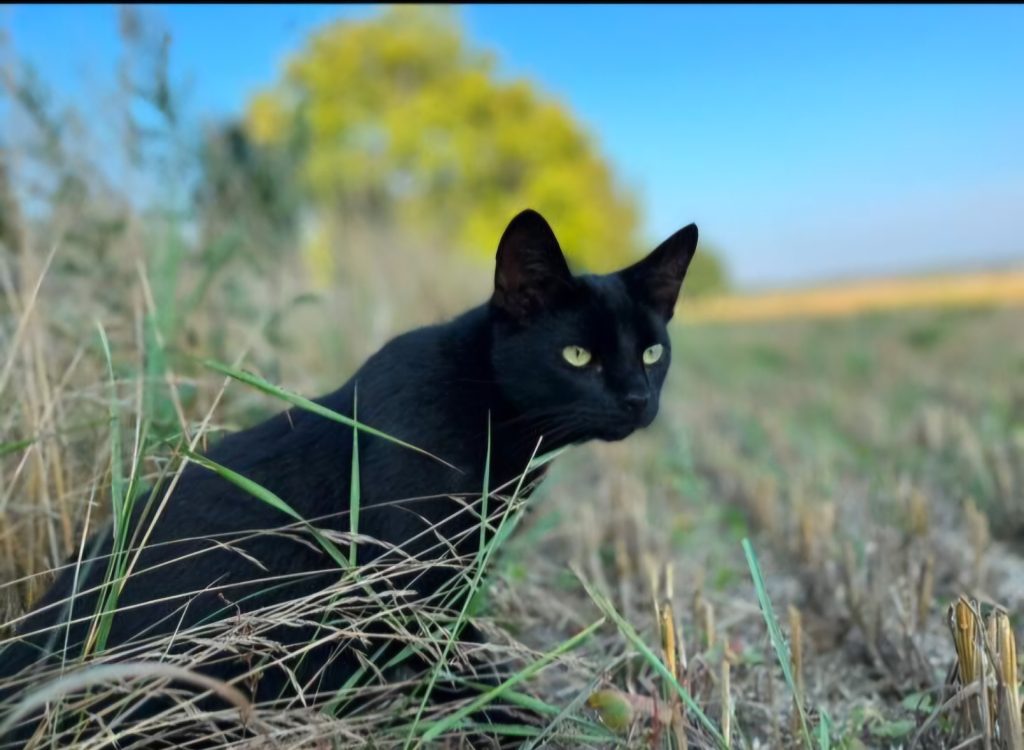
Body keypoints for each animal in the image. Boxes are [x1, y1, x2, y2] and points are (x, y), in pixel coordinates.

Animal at [0, 209, 697, 748]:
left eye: (653, 352)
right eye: (577, 355)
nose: (638, 399)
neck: (488, 410)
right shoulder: (409, 582)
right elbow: (465, 669)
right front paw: (519, 726)